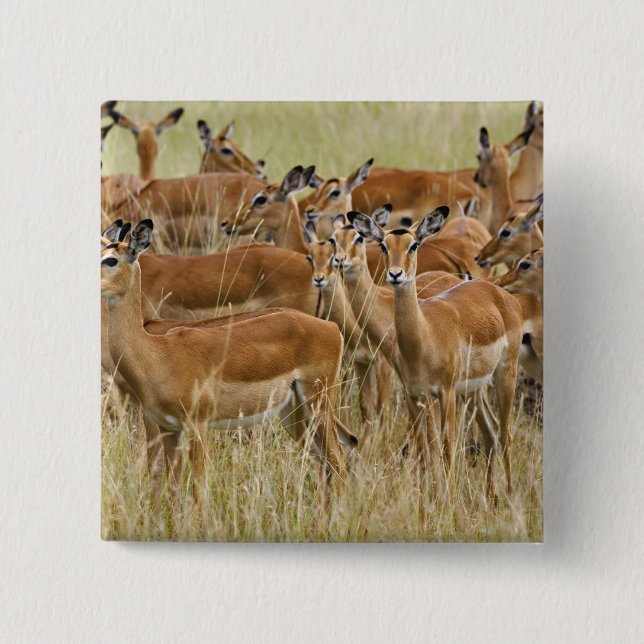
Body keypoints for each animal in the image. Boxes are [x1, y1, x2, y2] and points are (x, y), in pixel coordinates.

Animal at [101, 220, 355, 510]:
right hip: (293, 413)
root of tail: (331, 327)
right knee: (330, 460)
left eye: (111, 259)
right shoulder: (168, 428)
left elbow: (197, 490)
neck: (156, 352)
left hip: (318, 404)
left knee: (338, 461)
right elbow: (172, 488)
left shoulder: (195, 426)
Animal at [349, 207, 523, 502]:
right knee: (490, 433)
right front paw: (427, 502)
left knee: (505, 434)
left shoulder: (446, 392)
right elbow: (424, 450)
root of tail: (502, 294)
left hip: (503, 376)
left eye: (413, 245)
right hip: (473, 390)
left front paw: (446, 502)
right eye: (384, 244)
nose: (396, 274)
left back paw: (511, 499)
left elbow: (446, 449)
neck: (424, 337)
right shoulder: (415, 395)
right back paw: (491, 499)